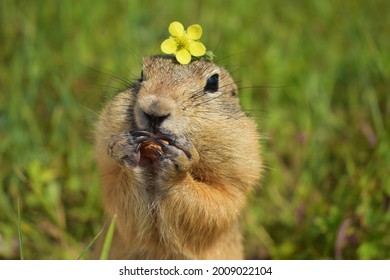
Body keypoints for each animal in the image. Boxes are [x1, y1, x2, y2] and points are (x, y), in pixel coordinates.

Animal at [93, 55, 262, 260]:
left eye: (213, 82)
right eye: (141, 75)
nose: (155, 109)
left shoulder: (236, 176)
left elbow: (213, 206)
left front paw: (177, 164)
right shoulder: (107, 172)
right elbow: (118, 201)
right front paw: (126, 146)